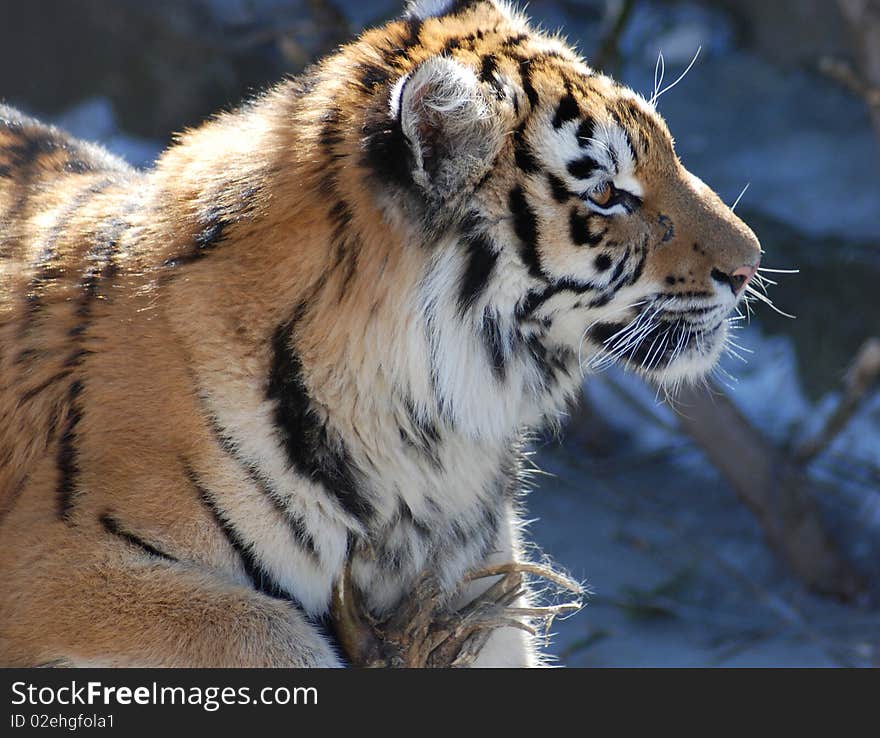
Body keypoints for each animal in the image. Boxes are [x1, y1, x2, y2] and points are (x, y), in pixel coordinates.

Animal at [0, 0, 760, 668]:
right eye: (605, 194)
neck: (430, 442)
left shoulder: (479, 601)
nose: (749, 265)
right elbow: (265, 631)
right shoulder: (60, 565)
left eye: (668, 151)